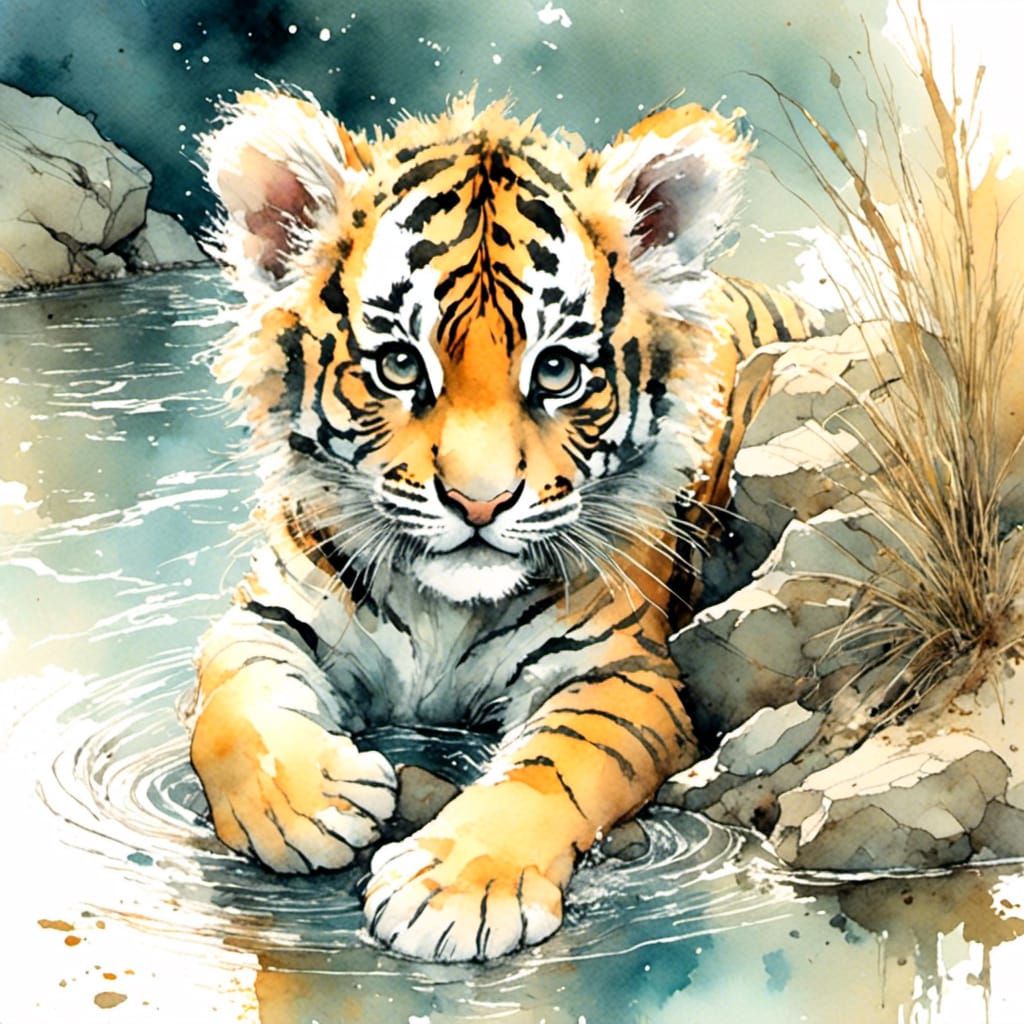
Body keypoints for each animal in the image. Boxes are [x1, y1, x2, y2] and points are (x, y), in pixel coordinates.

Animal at [189, 87, 825, 963]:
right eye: (399, 364)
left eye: (555, 370)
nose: (480, 503)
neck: (440, 607)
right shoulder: (270, 611)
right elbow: (236, 695)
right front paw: (306, 803)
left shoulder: (618, 673)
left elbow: (554, 765)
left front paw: (455, 887)